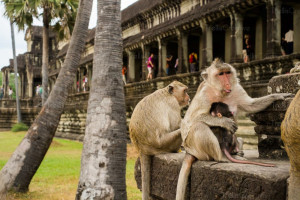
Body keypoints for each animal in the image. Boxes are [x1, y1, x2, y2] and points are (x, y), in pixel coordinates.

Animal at [176, 58, 290, 199]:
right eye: (220, 74)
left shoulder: (236, 89)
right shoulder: (204, 94)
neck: (220, 92)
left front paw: (276, 96)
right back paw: (223, 157)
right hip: (195, 147)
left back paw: (237, 152)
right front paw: (224, 121)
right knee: (199, 126)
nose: (227, 83)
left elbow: (251, 105)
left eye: (227, 73)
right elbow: (190, 120)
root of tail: (189, 152)